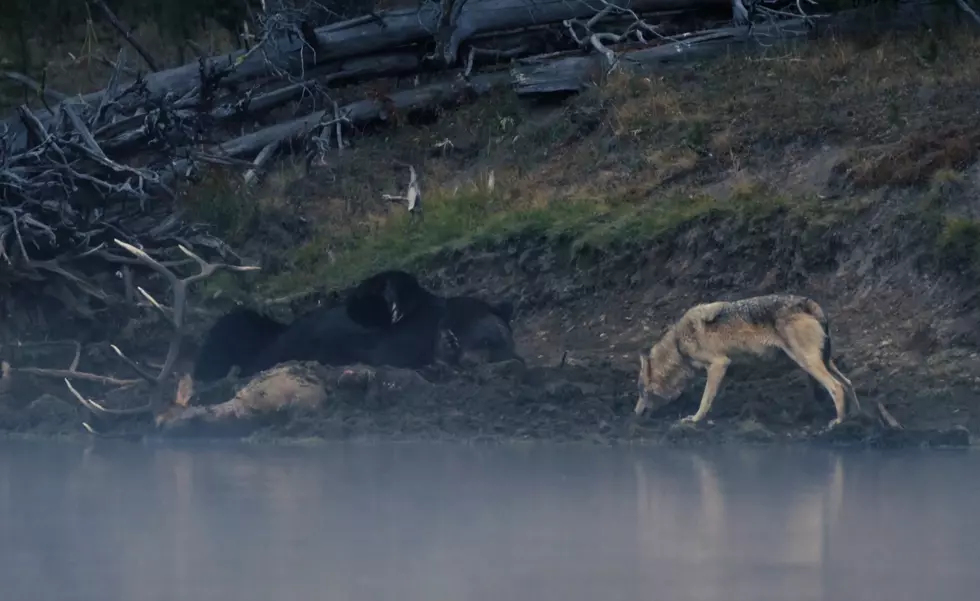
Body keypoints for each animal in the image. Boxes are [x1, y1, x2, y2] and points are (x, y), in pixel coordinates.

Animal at [636, 294, 856, 426]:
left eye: (642, 392)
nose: (635, 413)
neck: (677, 345)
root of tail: (809, 303)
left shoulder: (719, 364)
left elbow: (705, 399)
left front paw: (695, 419)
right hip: (824, 362)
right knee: (848, 383)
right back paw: (856, 418)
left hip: (807, 362)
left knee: (837, 387)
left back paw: (837, 424)